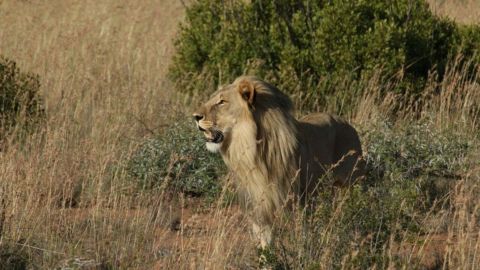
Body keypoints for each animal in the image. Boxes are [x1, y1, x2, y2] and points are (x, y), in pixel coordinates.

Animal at [191, 75, 364, 248]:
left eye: (222, 102)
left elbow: (300, 234)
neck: (251, 152)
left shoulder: (297, 200)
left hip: (353, 184)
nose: (195, 117)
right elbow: (265, 240)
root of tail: (346, 123)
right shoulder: (256, 204)